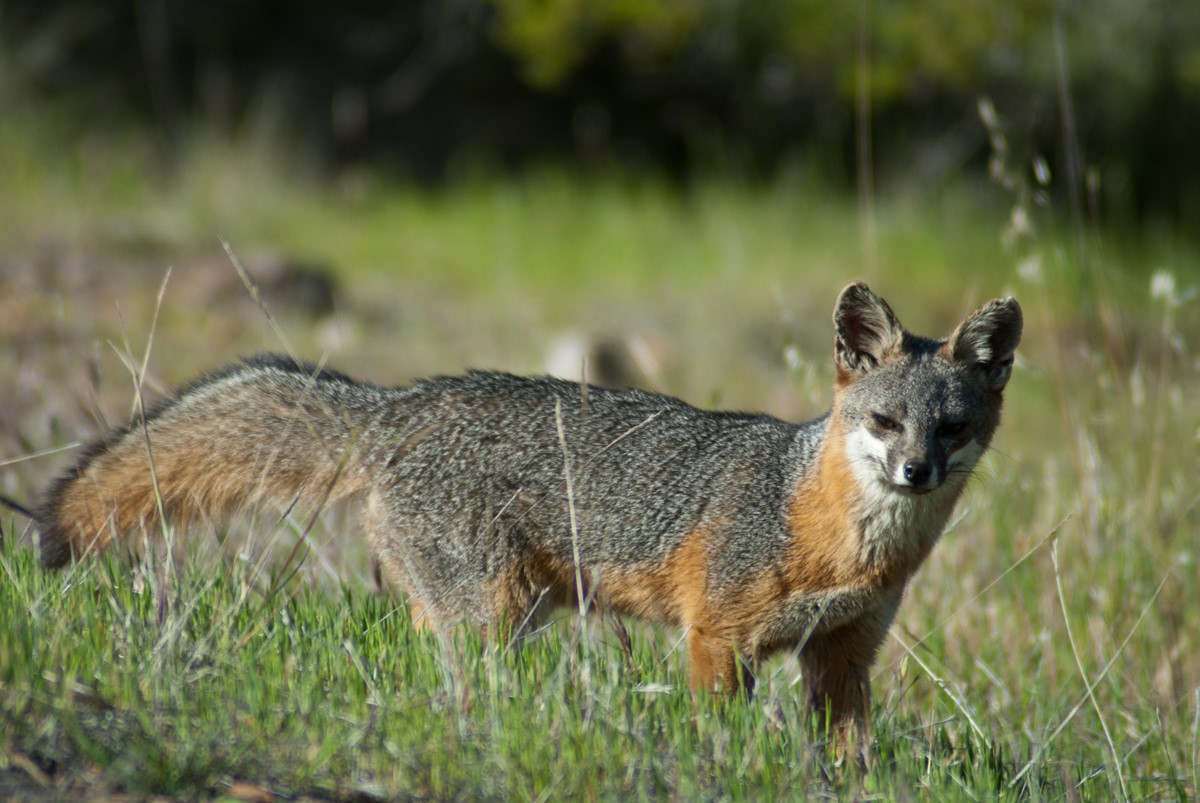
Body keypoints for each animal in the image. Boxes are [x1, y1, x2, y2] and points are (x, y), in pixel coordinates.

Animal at [21, 282, 1022, 763]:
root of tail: (403, 403)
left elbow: (851, 759)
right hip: (494, 615)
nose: (916, 471)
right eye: (885, 421)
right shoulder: (716, 639)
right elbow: (718, 734)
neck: (838, 544)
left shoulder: (844, 656)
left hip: (491, 612)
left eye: (951, 427)